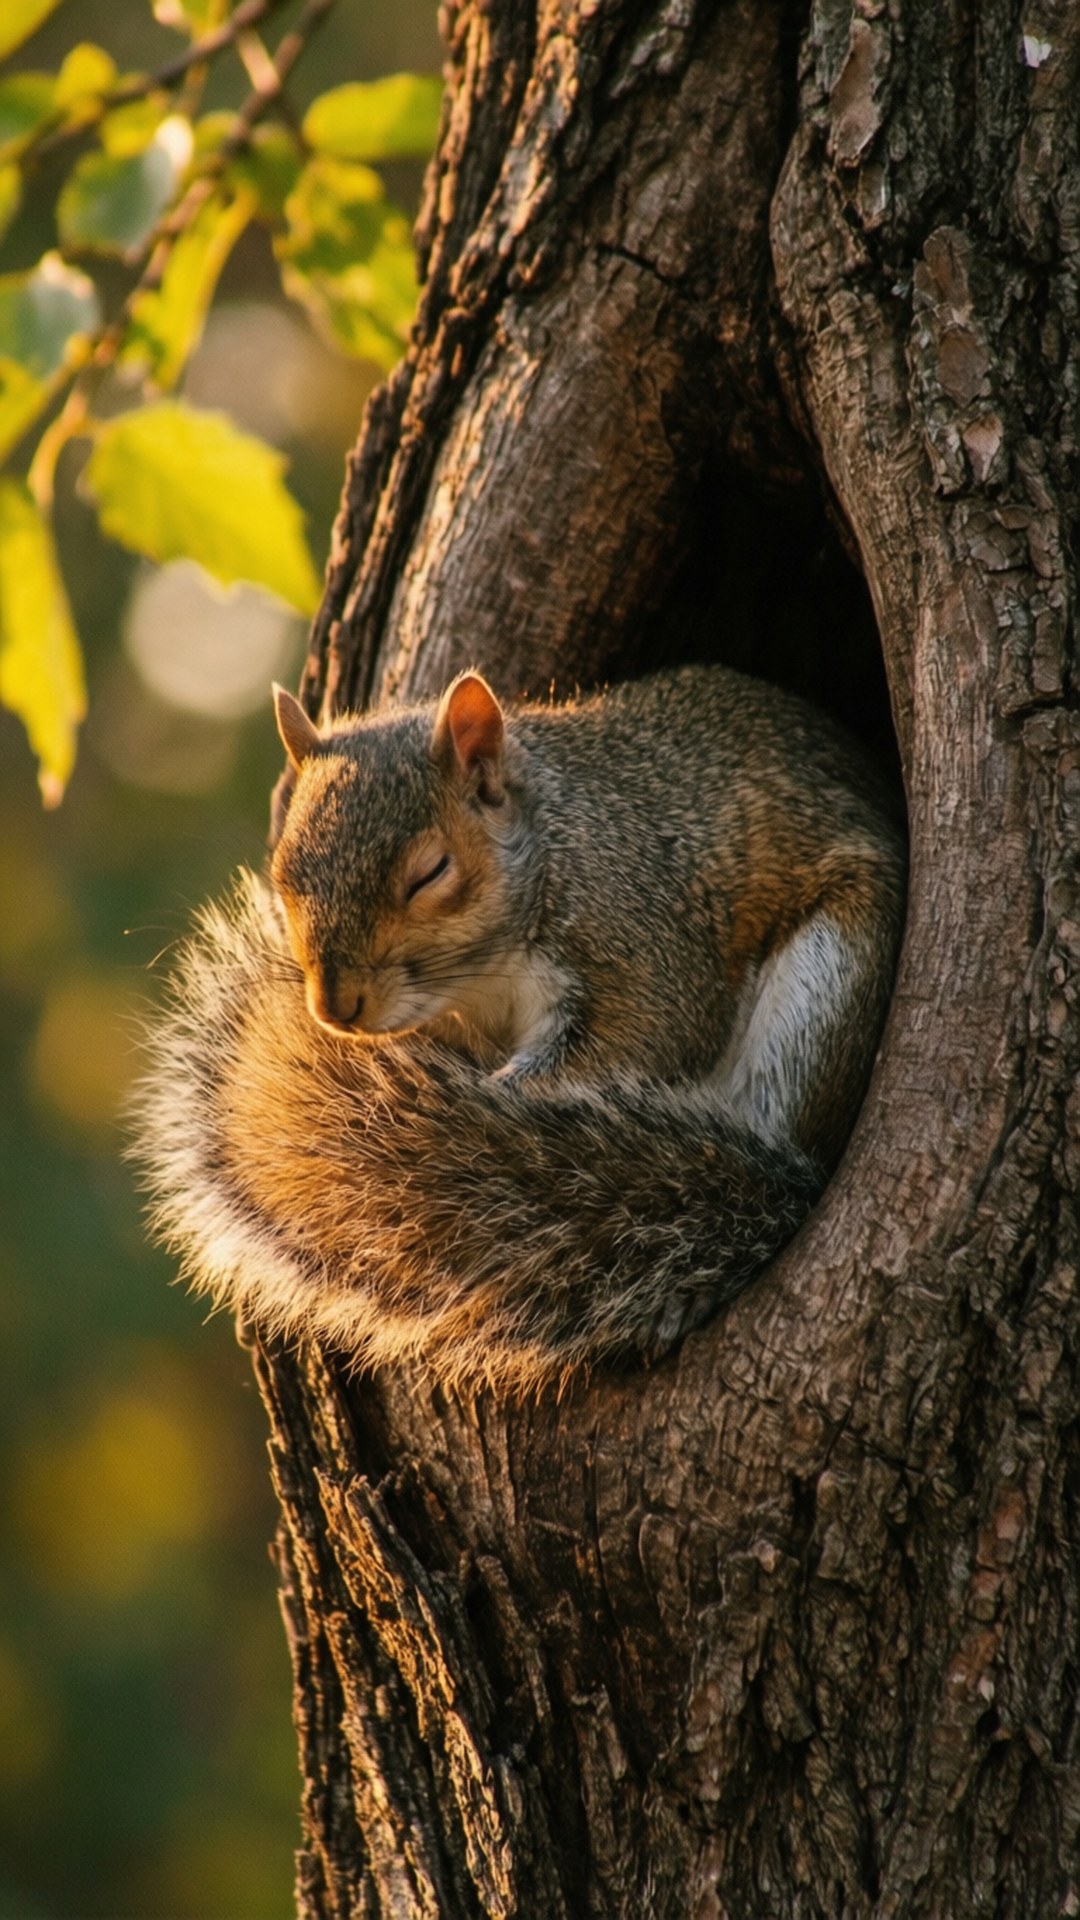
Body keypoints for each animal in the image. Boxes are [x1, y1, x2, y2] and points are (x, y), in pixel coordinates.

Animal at [133, 664, 905, 1395]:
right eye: (285, 871)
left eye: (430, 873)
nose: (334, 1007)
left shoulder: (644, 936)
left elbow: (655, 1029)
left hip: (826, 987)